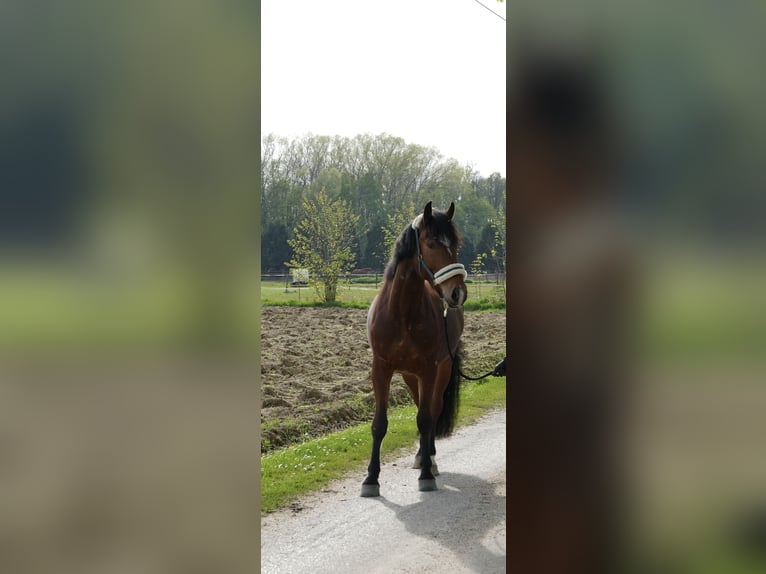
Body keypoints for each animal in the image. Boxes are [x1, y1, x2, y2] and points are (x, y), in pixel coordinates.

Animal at [364, 202, 472, 500]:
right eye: (432, 243)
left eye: (455, 244)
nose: (457, 293)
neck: (402, 313)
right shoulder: (382, 368)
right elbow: (379, 424)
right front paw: (371, 479)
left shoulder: (429, 370)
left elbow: (425, 419)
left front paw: (426, 474)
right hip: (410, 377)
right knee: (421, 406)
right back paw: (421, 456)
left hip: (440, 372)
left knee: (432, 412)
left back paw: (429, 459)